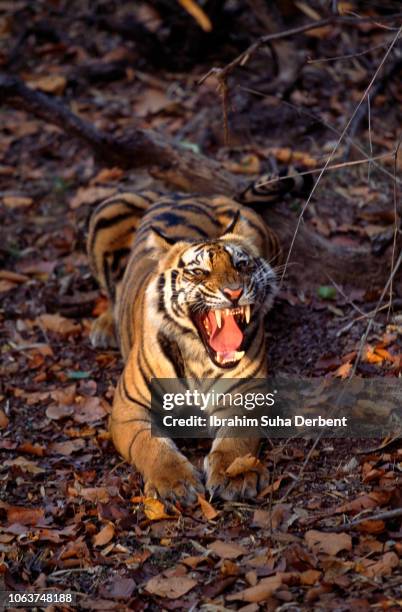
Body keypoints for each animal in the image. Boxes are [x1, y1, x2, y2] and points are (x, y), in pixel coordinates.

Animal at [85, 170, 304, 504]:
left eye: (242, 264)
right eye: (198, 272)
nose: (234, 292)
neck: (199, 358)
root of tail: (190, 194)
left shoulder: (247, 394)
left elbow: (237, 440)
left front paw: (235, 475)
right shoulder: (129, 407)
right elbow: (151, 445)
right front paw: (175, 483)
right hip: (109, 207)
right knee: (112, 291)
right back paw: (105, 326)